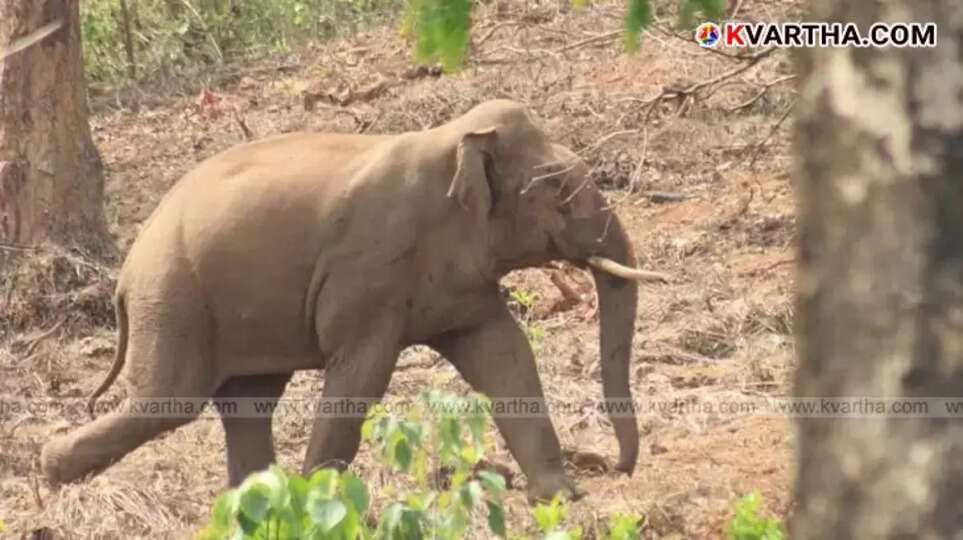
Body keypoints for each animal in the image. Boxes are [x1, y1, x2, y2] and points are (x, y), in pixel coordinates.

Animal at [40, 100, 667, 502]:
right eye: (557, 188)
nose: (617, 467)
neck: (449, 140)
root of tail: (126, 271)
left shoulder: (461, 280)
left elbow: (505, 355)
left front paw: (562, 497)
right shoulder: (368, 268)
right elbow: (360, 374)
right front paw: (320, 500)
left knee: (247, 404)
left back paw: (252, 504)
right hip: (173, 300)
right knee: (167, 403)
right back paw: (49, 473)